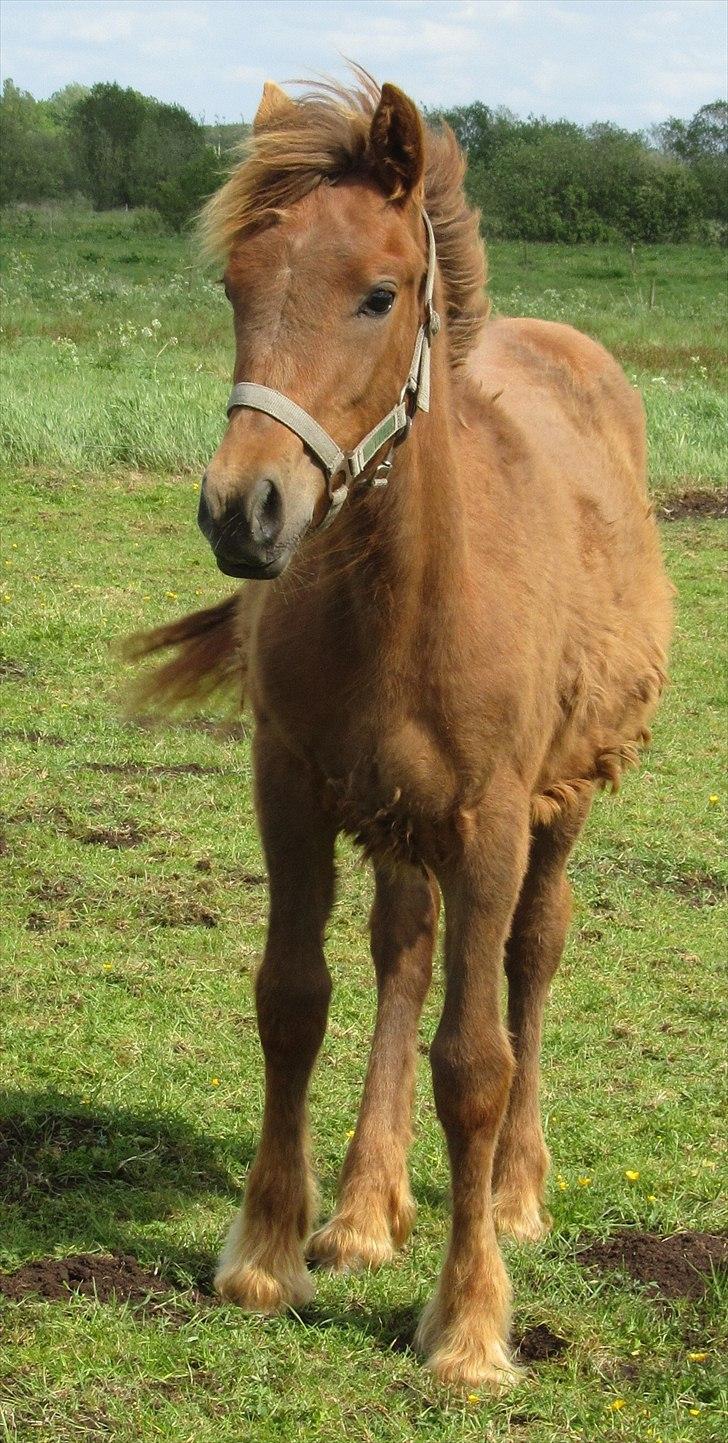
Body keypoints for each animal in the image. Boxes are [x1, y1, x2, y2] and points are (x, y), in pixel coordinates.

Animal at [126, 76, 668, 1385]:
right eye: (234, 287)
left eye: (379, 293)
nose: (244, 511)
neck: (414, 592)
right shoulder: (291, 790)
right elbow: (292, 998)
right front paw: (266, 1252)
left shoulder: (488, 823)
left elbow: (472, 1061)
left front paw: (468, 1325)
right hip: (392, 817)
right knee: (401, 955)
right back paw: (367, 1209)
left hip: (552, 809)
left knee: (530, 960)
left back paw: (514, 1193)